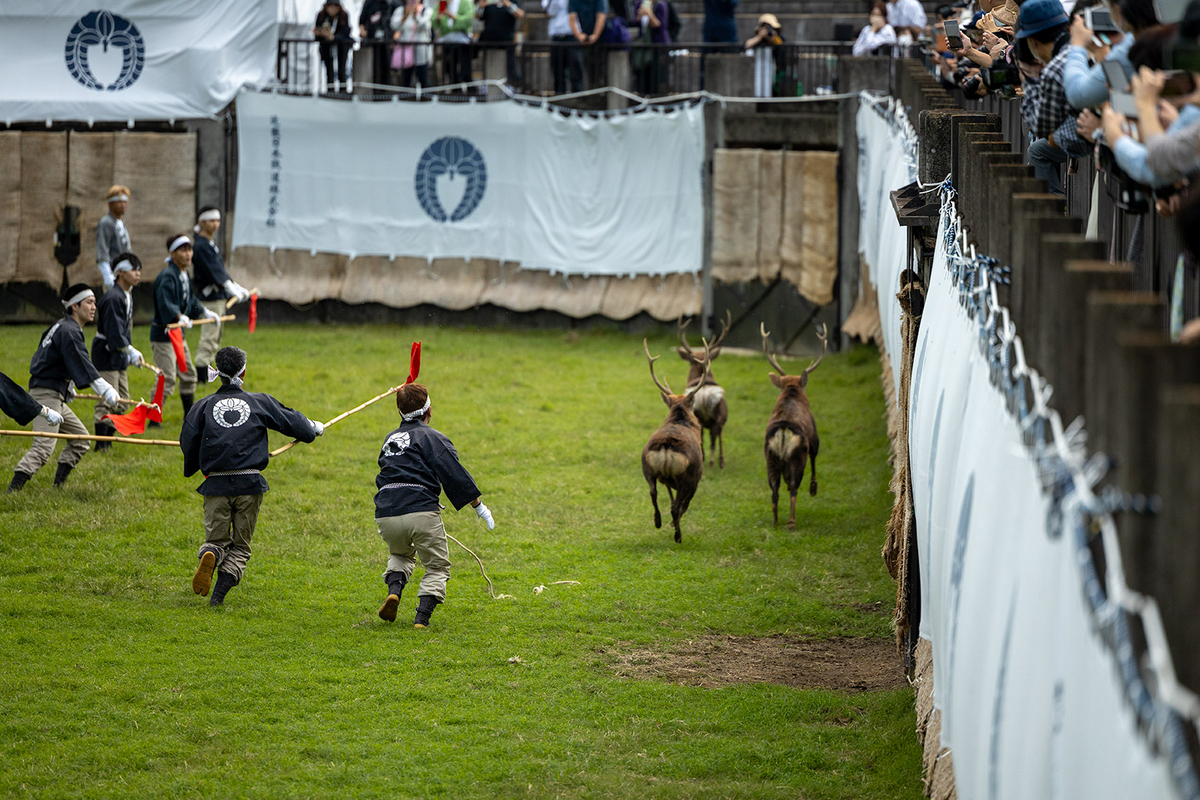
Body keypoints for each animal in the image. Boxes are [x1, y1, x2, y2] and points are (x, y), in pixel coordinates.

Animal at [643, 338, 705, 544]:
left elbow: (669, 498)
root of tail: (666, 447)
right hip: (689, 476)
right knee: (677, 507)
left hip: (648, 469)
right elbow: (682, 505)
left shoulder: (668, 481)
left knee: (653, 492)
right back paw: (678, 535)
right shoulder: (695, 478)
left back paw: (658, 522)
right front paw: (674, 526)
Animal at [676, 309, 729, 470]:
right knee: (714, 437)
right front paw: (721, 461)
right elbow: (718, 438)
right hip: (717, 416)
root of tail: (705, 394)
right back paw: (713, 461)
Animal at [758, 321, 825, 527]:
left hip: (770, 456)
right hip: (797, 455)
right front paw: (813, 488)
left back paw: (775, 521)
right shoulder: (814, 438)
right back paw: (791, 522)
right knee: (795, 485)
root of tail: (782, 432)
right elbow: (815, 456)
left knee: (774, 488)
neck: (791, 392)